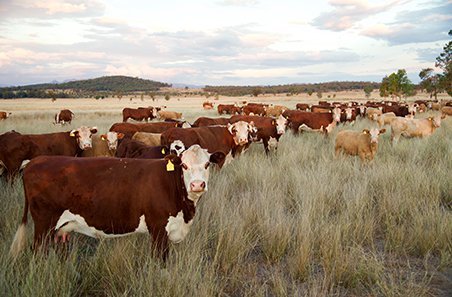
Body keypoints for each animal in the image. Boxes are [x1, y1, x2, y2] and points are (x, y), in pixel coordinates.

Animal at [10, 145, 228, 260]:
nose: (197, 184)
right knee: (38, 252)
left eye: (207, 164)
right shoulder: (158, 229)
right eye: (184, 165)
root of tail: (35, 161)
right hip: (43, 225)